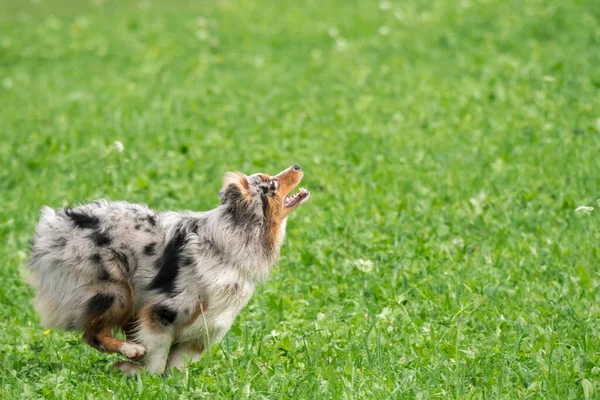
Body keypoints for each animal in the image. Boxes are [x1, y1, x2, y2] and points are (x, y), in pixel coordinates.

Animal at [24, 163, 310, 376]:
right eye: (271, 184)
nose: (297, 165)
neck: (231, 239)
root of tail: (55, 224)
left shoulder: (204, 328)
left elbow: (178, 367)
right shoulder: (161, 312)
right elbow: (157, 356)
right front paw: (143, 375)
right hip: (116, 292)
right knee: (91, 334)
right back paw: (130, 350)